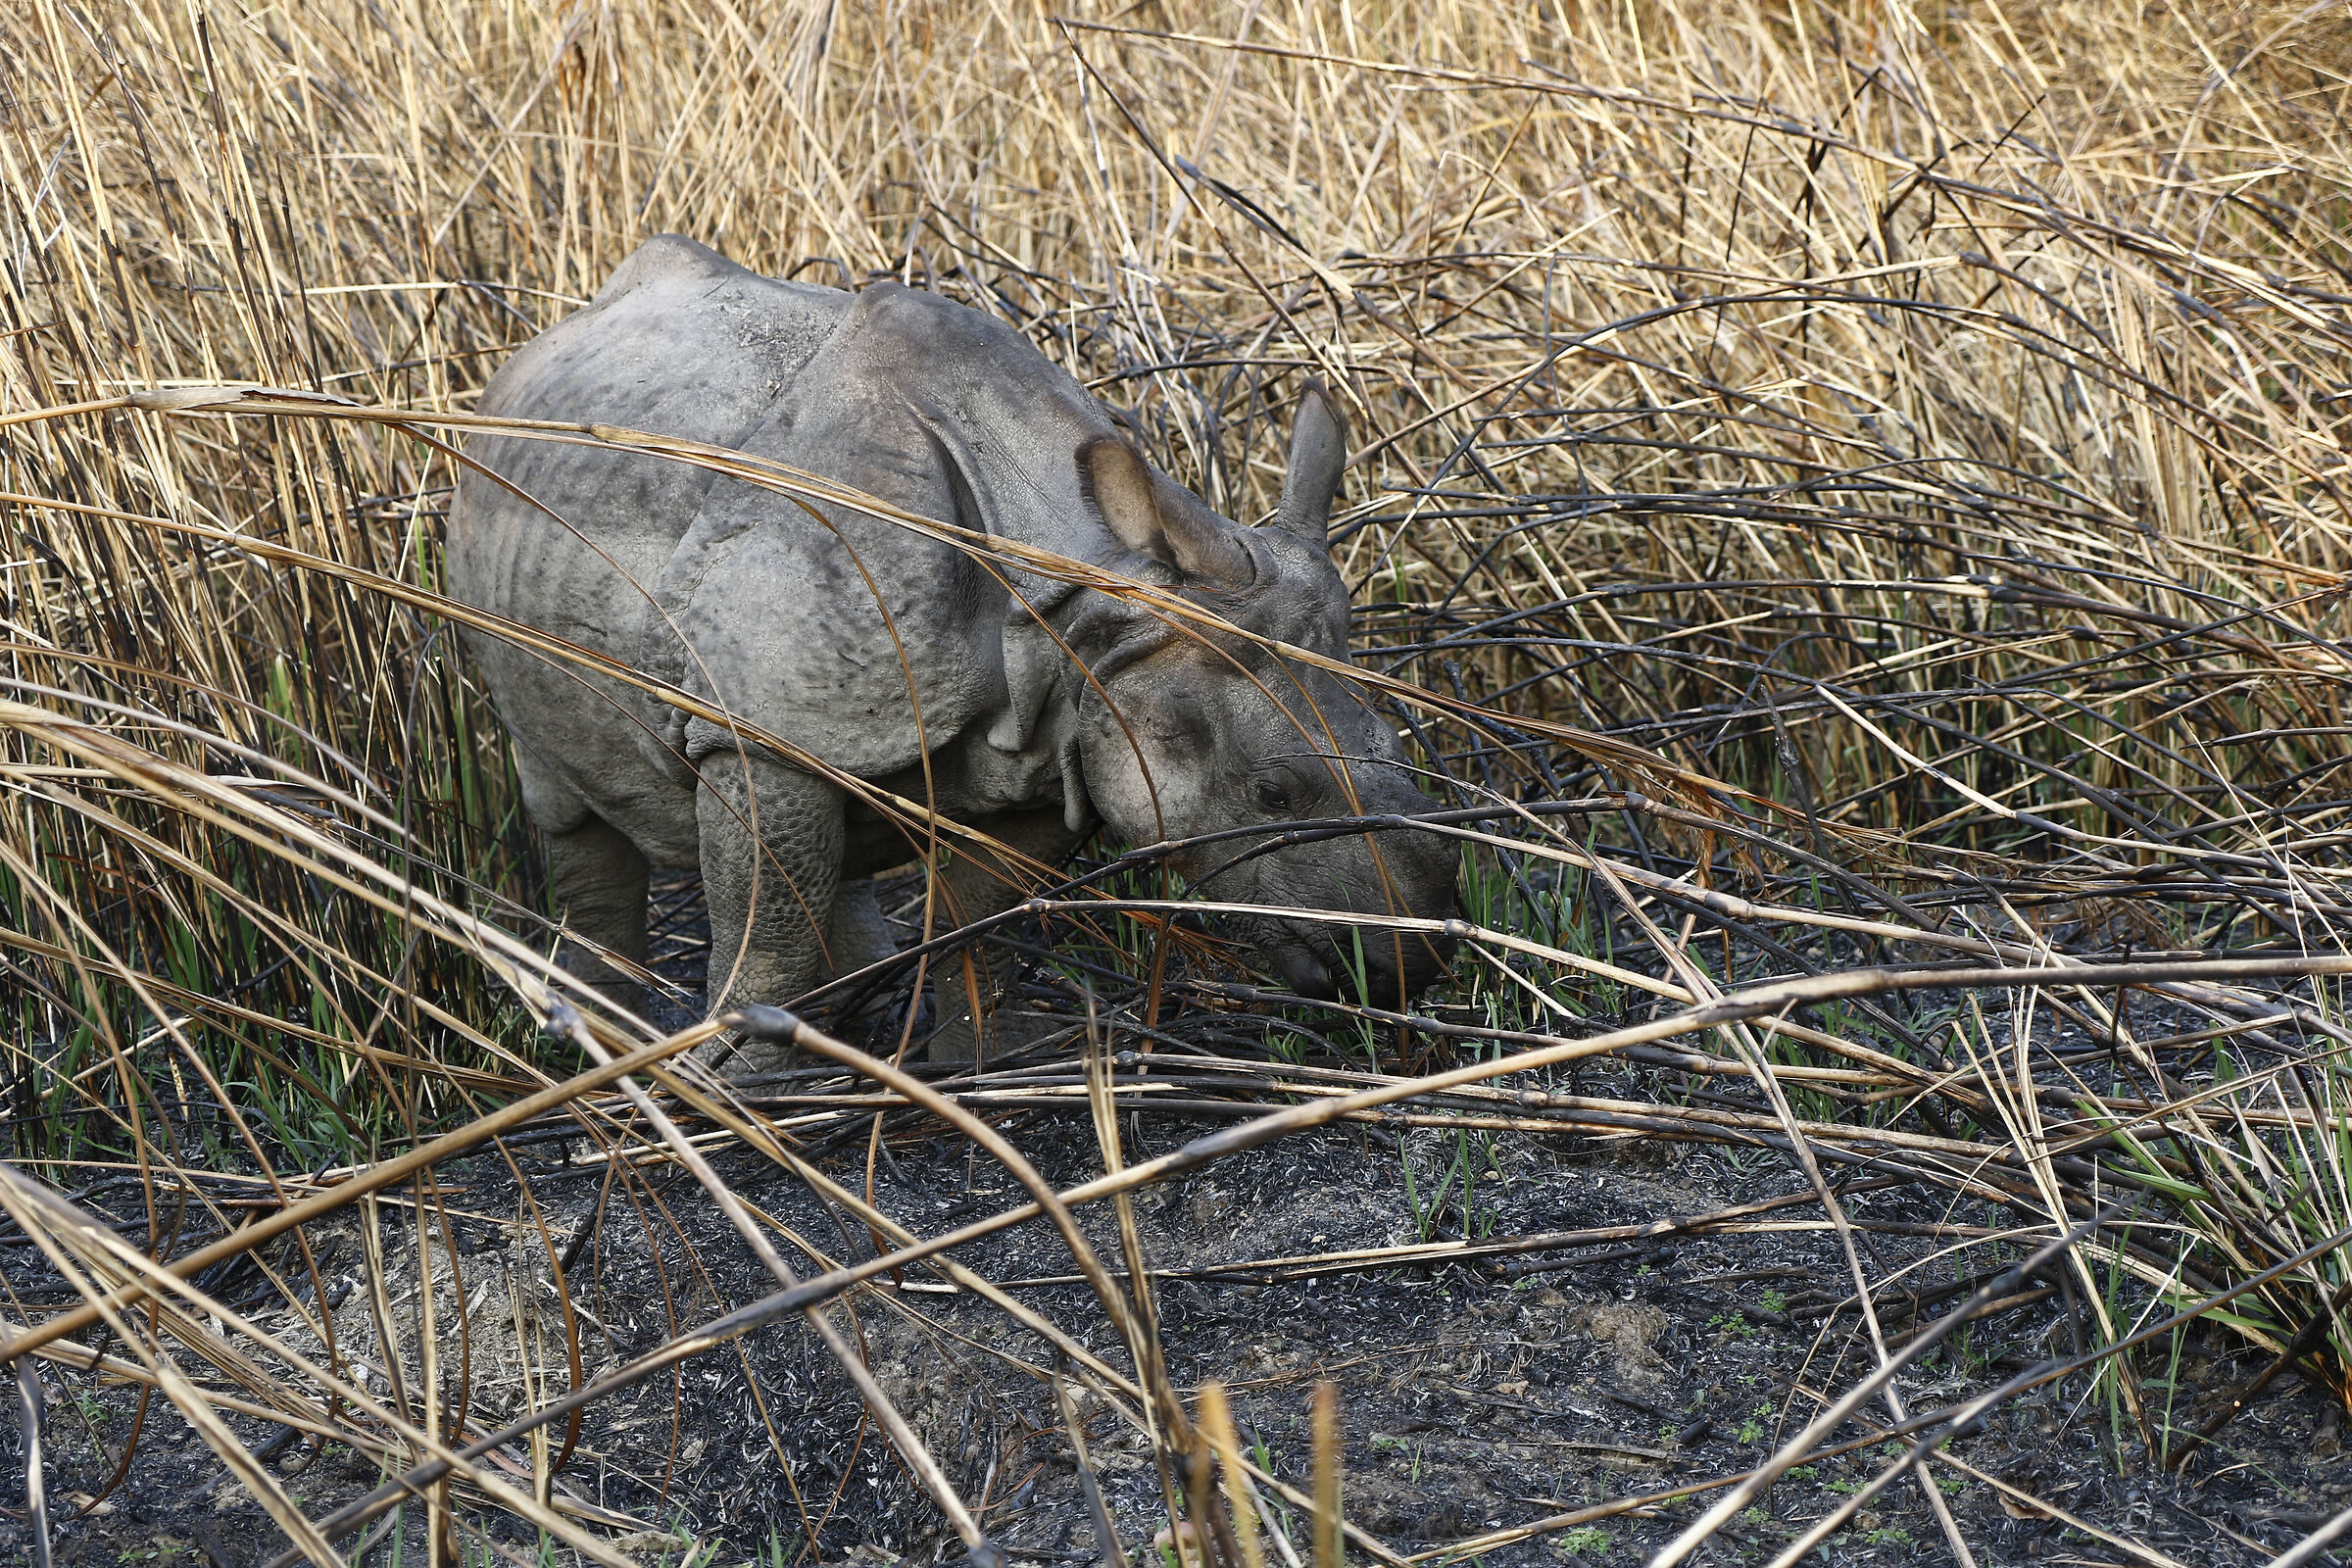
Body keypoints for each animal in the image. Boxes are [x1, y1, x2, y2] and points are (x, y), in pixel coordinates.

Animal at [447, 235, 1459, 1073]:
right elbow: (768, 913)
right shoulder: (757, 727)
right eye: (1272, 793)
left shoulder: (1066, 717)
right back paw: (599, 1043)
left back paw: (846, 1008)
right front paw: (735, 1083)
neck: (1086, 590)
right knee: (566, 795)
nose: (1408, 966)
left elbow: (982, 911)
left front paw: (983, 1060)